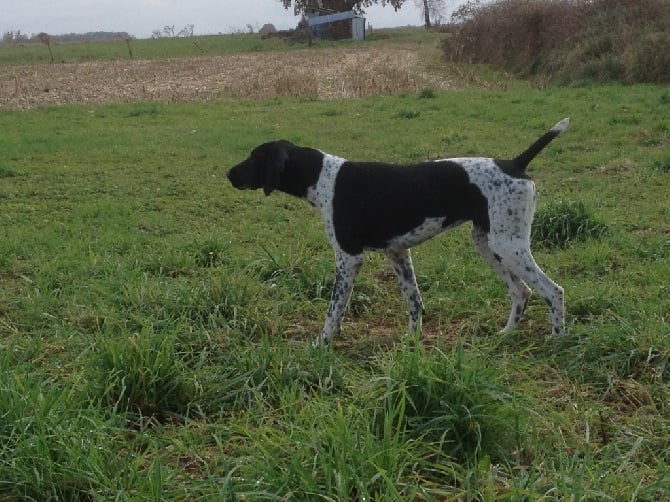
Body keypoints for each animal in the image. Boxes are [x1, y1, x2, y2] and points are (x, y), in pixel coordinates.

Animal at [228, 117, 568, 346]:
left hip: (509, 245)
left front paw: (321, 344)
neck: (323, 178)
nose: (228, 173)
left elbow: (335, 309)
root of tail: (515, 163)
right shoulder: (398, 253)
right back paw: (505, 334)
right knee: (521, 291)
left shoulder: (348, 258)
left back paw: (558, 340)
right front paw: (411, 344)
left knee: (553, 291)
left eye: (253, 158)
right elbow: (414, 302)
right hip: (488, 244)